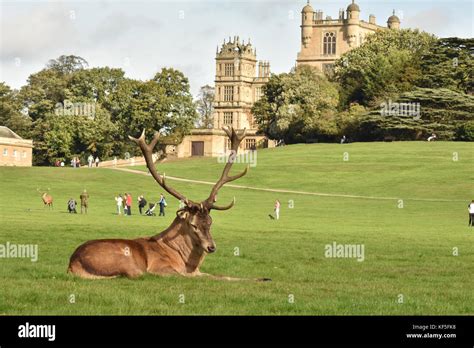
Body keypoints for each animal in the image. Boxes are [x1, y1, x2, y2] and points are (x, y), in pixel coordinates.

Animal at [68, 126, 268, 282]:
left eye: (210, 222)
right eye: (193, 225)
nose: (211, 247)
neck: (187, 263)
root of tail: (72, 263)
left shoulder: (198, 272)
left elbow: (222, 276)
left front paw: (263, 278)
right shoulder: (161, 268)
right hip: (128, 262)